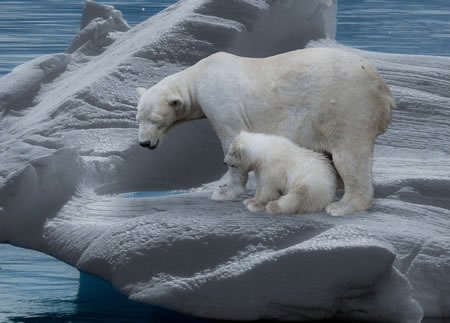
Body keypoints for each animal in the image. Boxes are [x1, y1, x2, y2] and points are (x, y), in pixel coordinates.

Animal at [136, 48, 394, 216]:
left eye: (156, 121)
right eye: (138, 119)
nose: (144, 143)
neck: (200, 76)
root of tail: (383, 89)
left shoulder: (222, 104)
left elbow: (231, 139)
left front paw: (225, 191)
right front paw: (223, 187)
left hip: (347, 106)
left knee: (349, 155)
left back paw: (342, 206)